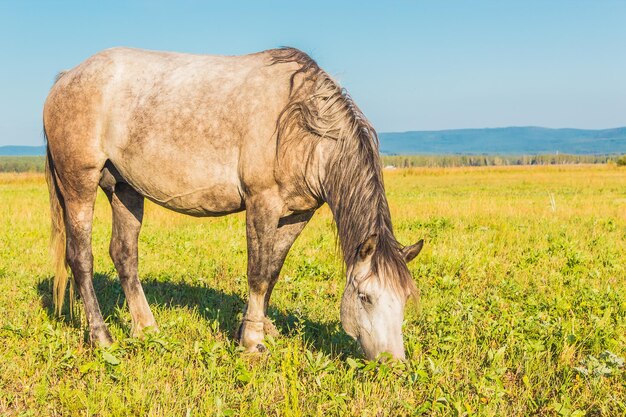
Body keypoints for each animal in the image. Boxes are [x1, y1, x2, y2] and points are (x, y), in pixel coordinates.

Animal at [44, 44, 422, 358]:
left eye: (405, 299)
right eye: (365, 297)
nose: (392, 363)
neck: (299, 123)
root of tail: (65, 79)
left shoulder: (297, 215)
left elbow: (272, 271)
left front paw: (259, 329)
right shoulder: (262, 203)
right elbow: (257, 273)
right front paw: (252, 342)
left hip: (124, 189)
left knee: (124, 255)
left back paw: (146, 329)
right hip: (79, 184)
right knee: (81, 258)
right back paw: (102, 337)